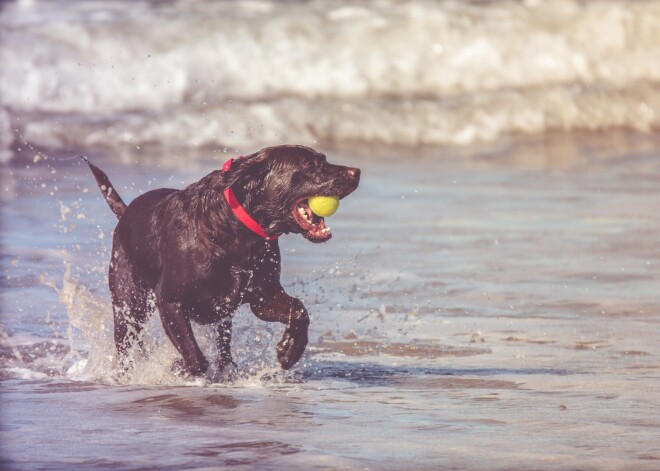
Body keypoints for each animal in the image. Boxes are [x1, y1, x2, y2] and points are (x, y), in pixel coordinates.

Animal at [84, 146, 360, 378]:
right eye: (310, 164)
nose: (357, 172)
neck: (236, 229)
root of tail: (126, 213)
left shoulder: (263, 296)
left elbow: (298, 309)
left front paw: (291, 349)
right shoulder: (170, 301)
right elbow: (194, 356)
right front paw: (179, 367)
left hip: (221, 317)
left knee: (224, 344)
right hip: (129, 304)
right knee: (126, 344)